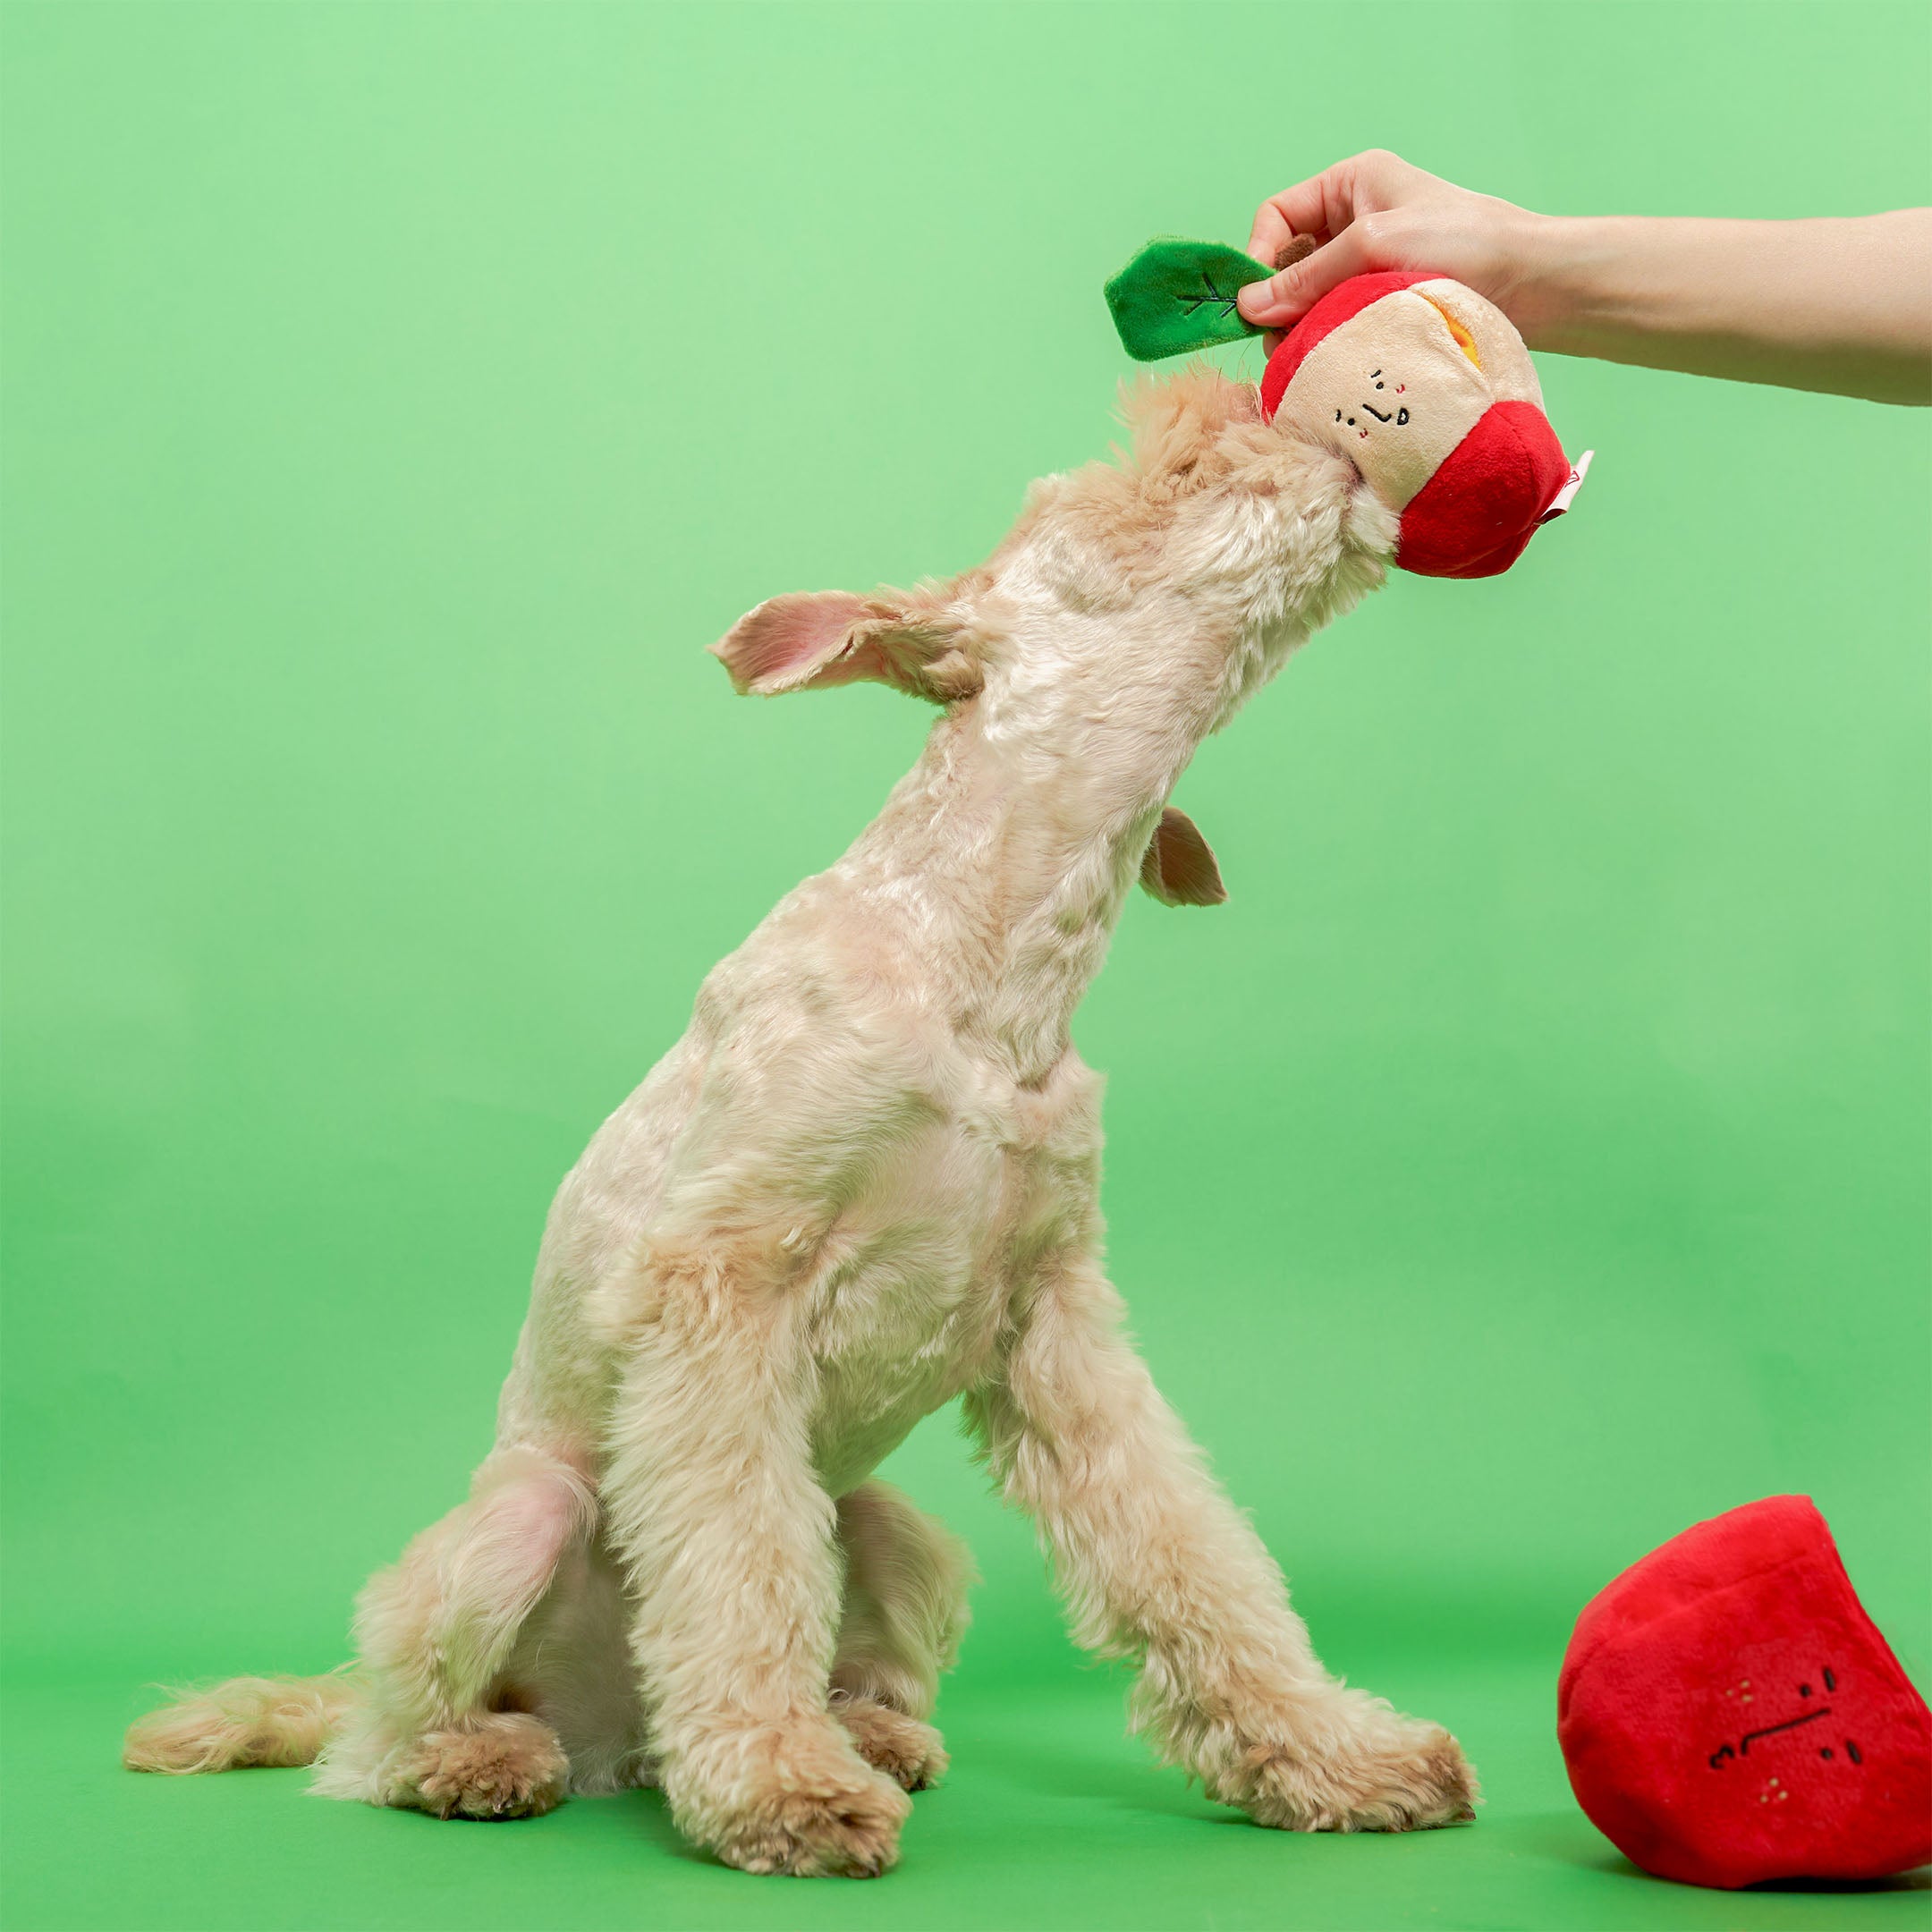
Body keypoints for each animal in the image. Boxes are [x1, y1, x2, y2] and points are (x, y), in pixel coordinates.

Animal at [124, 363, 1476, 1869]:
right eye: (1120, 485)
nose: (1265, 401)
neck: (988, 976)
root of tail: (615, 1745)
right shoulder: (724, 1285)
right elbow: (736, 1567)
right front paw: (778, 1790)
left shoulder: (1054, 1318)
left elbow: (1191, 1553)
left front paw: (1335, 1755)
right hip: (520, 1524)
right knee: (375, 1741)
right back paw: (487, 1757)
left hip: (891, 1527)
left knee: (852, 1616)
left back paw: (866, 1731)